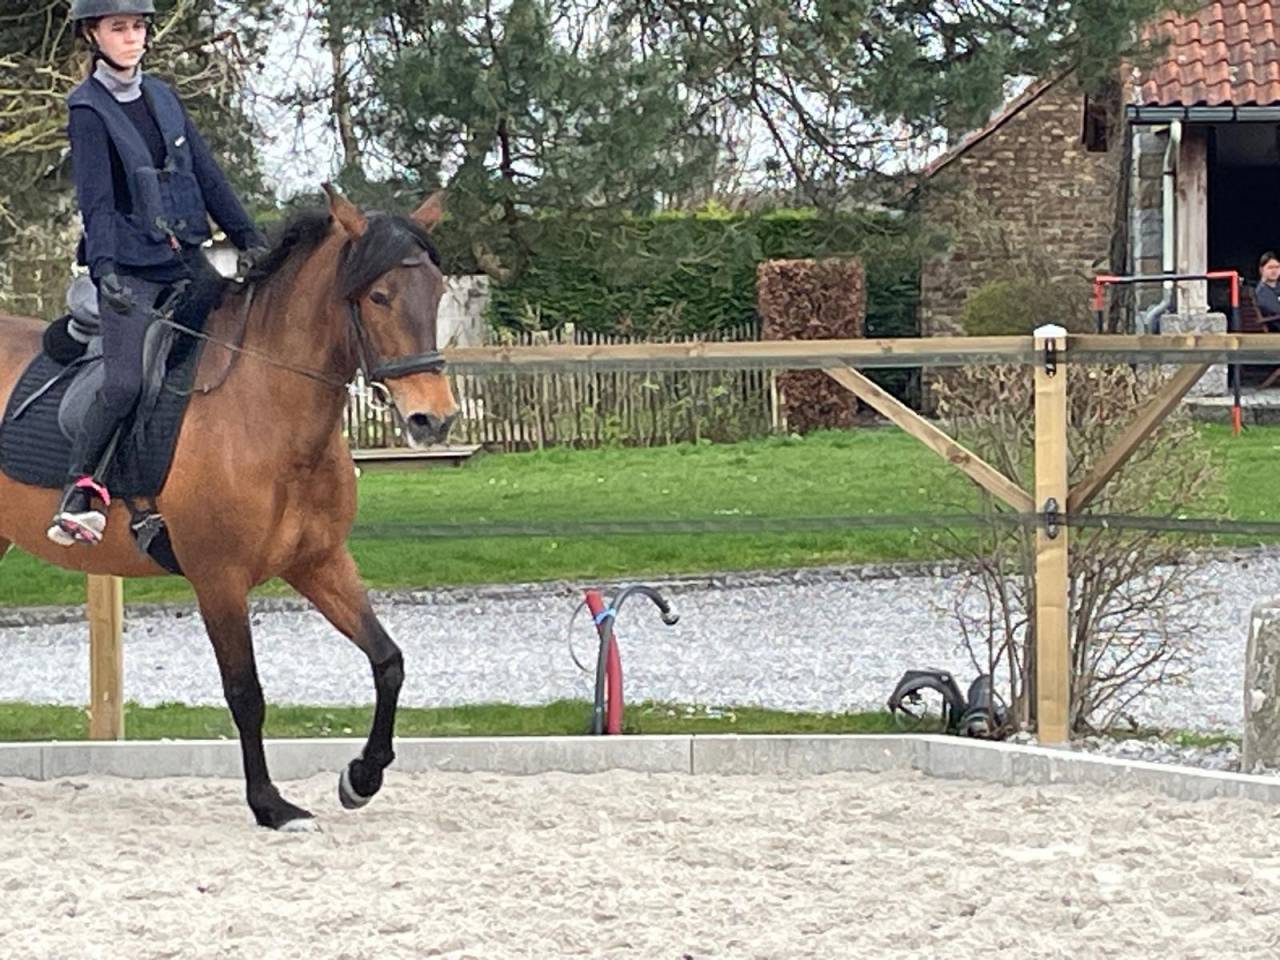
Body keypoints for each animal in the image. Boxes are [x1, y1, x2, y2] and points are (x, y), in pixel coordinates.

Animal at [0, 185, 459, 830]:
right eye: (379, 295)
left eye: (437, 291)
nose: (432, 418)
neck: (266, 410)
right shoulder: (218, 578)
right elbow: (247, 694)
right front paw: (270, 805)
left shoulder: (319, 562)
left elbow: (388, 661)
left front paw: (360, 779)